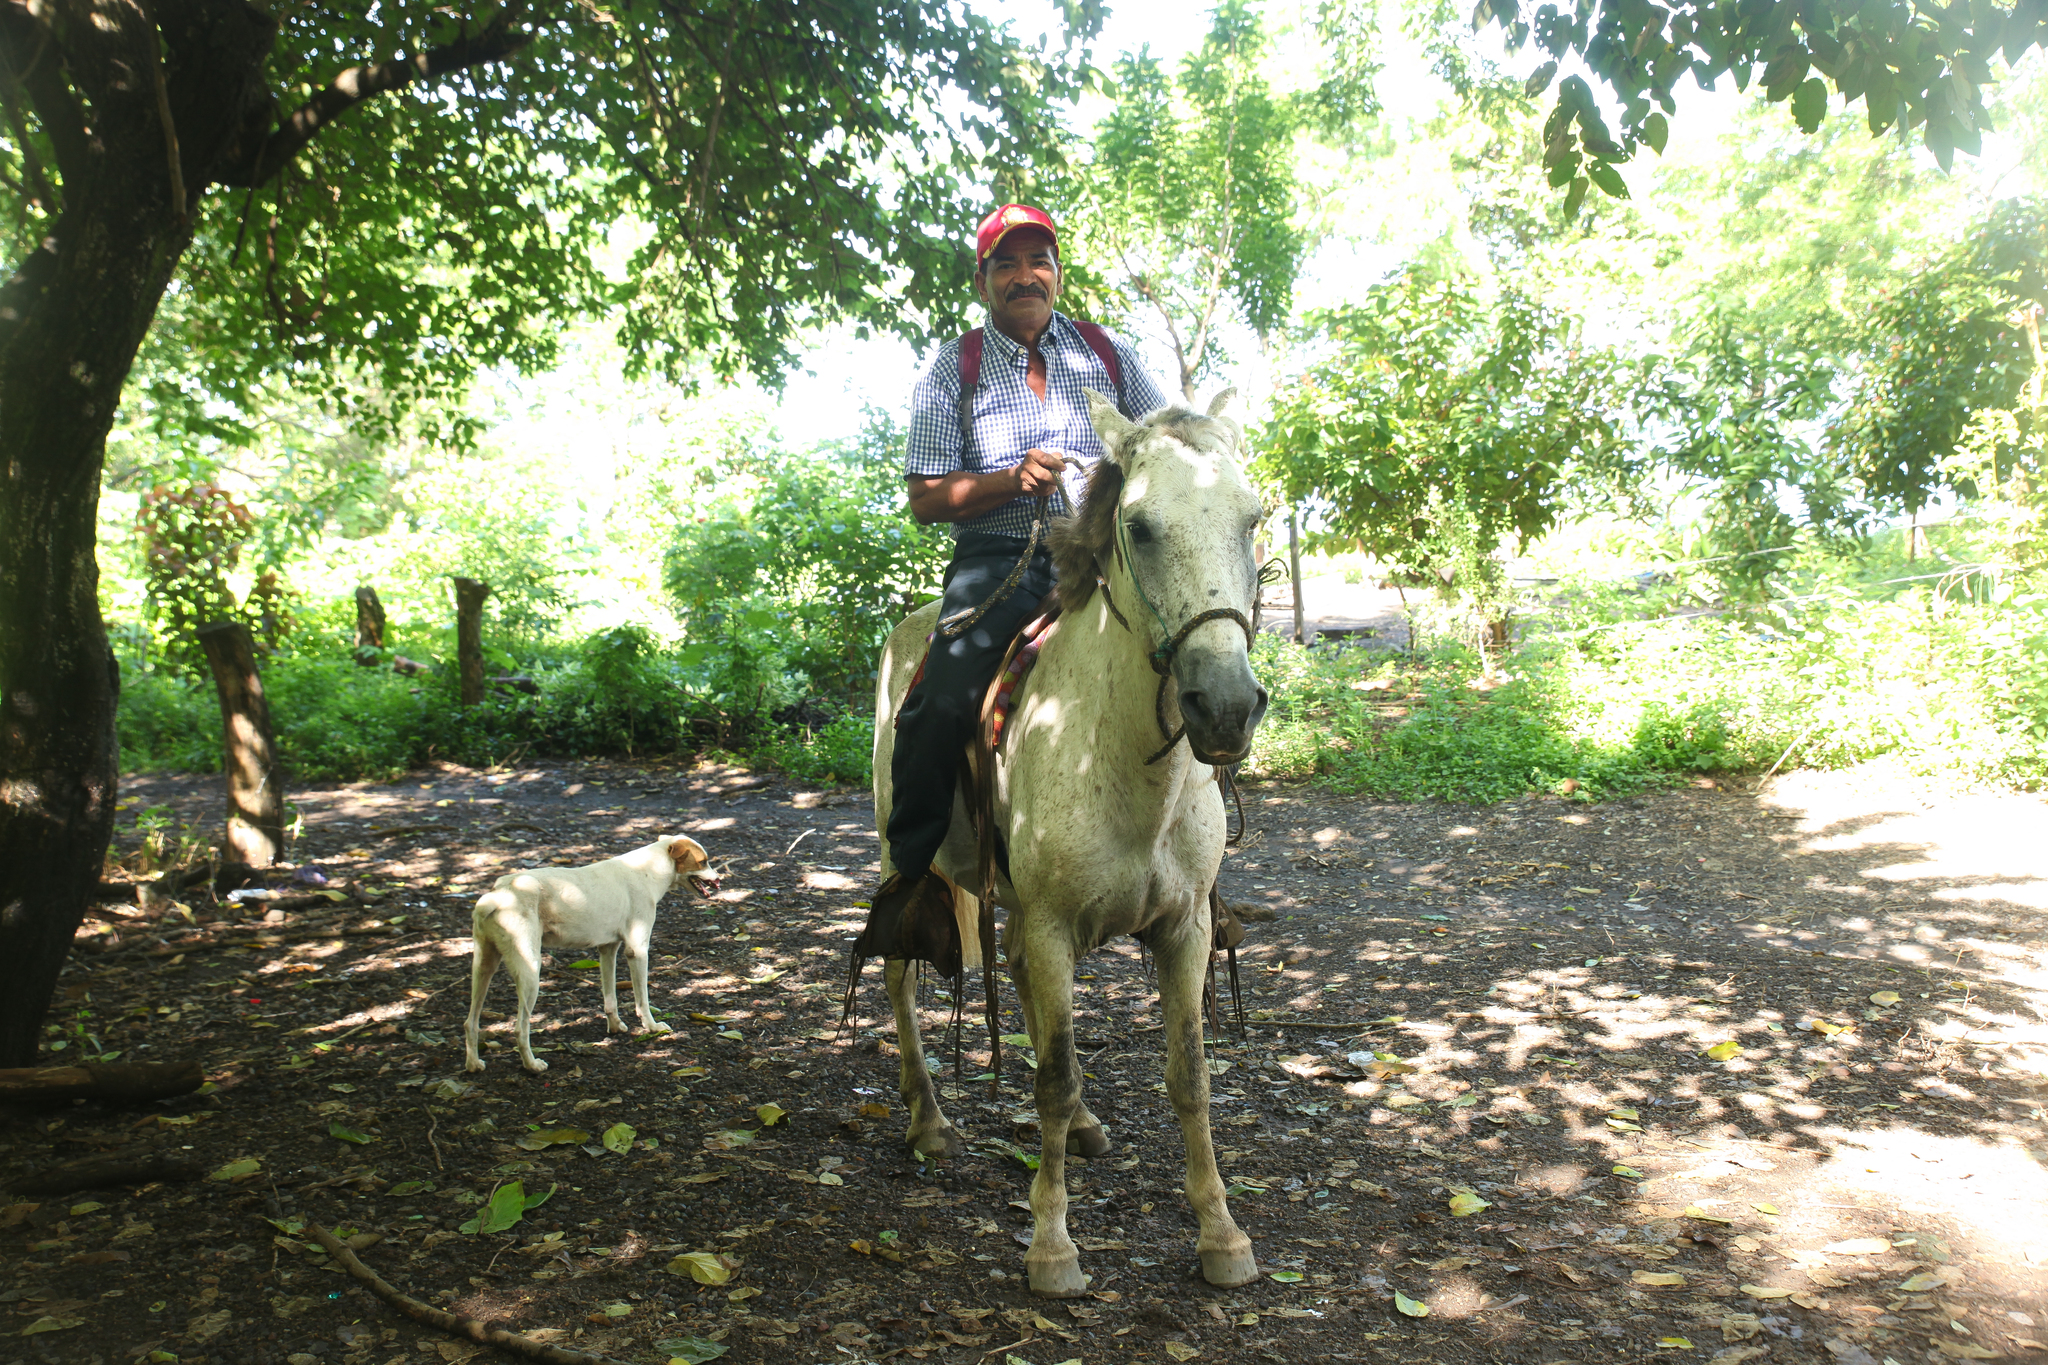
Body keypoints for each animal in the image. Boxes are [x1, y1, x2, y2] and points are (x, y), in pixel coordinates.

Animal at [464, 839, 720, 1072]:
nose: (719, 880)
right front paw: (652, 1027)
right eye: (703, 861)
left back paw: (474, 1064)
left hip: (483, 968)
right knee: (520, 1027)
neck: (648, 870)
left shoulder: (607, 949)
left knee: (470, 1022)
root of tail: (499, 895)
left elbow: (610, 998)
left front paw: (615, 1027)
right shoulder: (637, 951)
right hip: (530, 973)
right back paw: (532, 1065)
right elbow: (643, 1000)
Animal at [864, 388, 1261, 1301]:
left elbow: (1190, 1075)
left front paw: (1221, 1232)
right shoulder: (1049, 926)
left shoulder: (1183, 927)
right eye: (1140, 527)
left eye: (1252, 519)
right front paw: (1052, 1246)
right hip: (904, 859)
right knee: (902, 973)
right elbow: (1051, 1075)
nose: (1225, 705)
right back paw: (928, 1117)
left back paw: (1081, 1127)